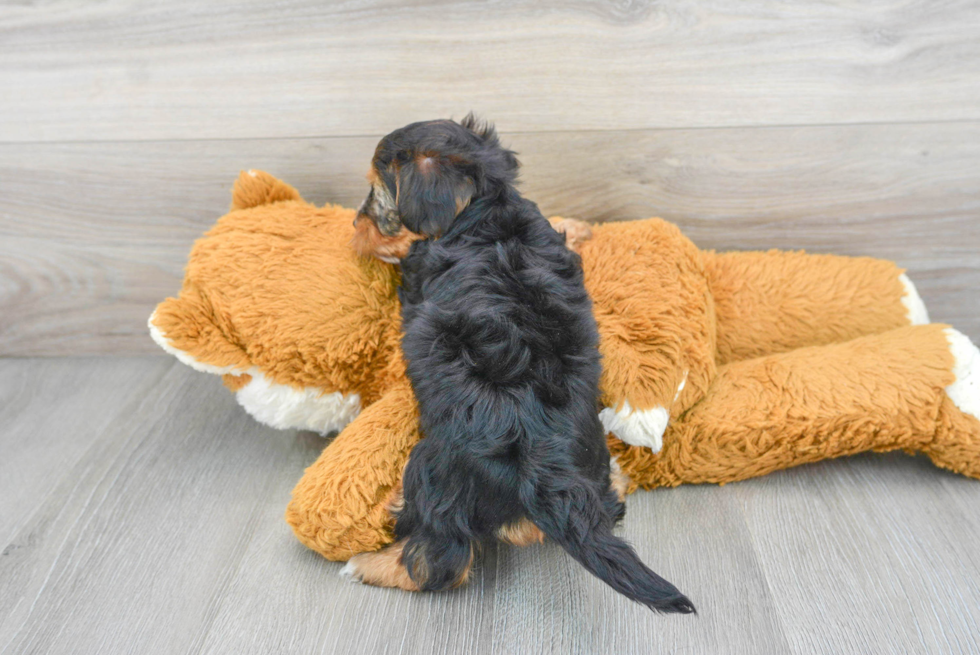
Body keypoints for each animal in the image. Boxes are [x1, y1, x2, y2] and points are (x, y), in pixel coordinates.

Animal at [340, 115, 692, 612]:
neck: (485, 207)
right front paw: (579, 226)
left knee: (440, 561)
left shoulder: (414, 276)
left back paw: (370, 559)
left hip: (437, 470)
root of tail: (548, 471)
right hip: (590, 459)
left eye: (377, 193)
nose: (355, 224)